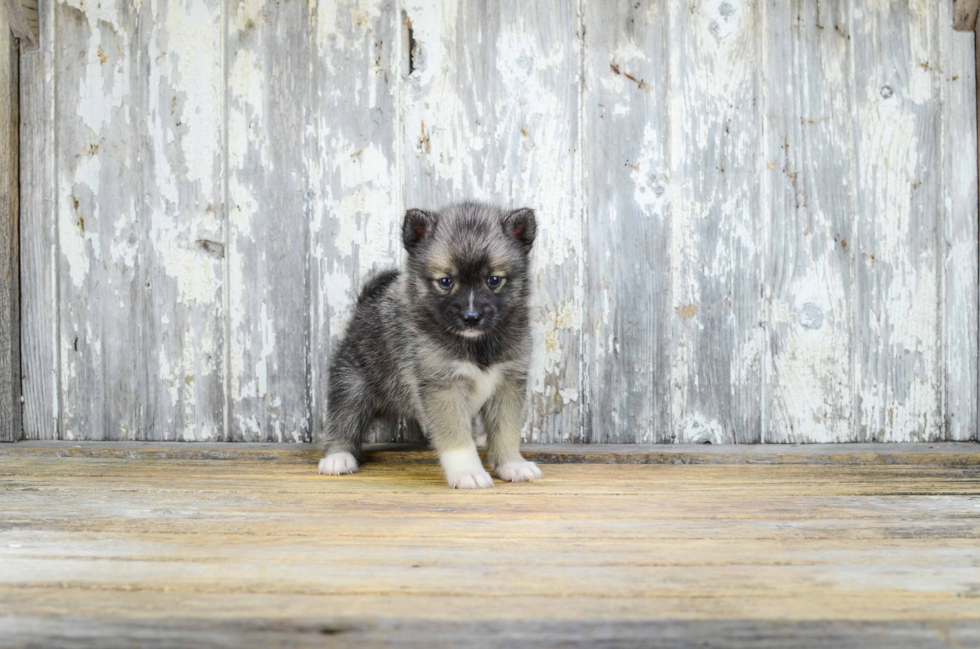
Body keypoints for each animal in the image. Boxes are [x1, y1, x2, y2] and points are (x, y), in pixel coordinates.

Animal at [316, 201, 540, 486]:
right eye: (445, 281)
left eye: (493, 280)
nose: (471, 318)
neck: (476, 344)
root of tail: (364, 305)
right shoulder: (442, 386)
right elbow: (456, 437)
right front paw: (468, 472)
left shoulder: (508, 383)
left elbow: (505, 431)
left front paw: (512, 464)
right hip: (352, 384)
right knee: (343, 420)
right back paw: (337, 457)